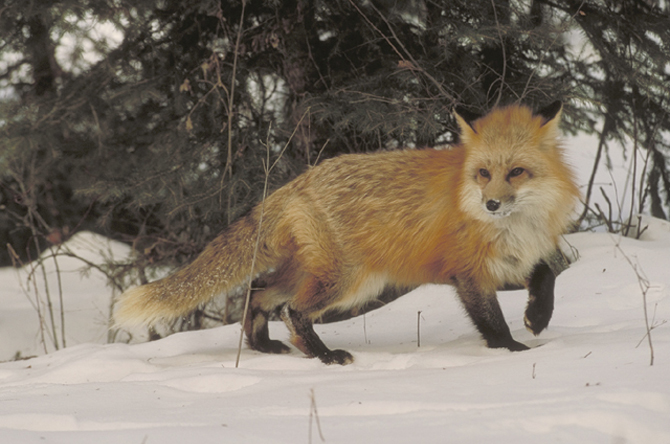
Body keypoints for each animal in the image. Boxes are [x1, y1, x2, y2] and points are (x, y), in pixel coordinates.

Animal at [115, 101, 580, 365]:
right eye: (483, 173)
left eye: (516, 172)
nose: (491, 205)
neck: (514, 226)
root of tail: (298, 181)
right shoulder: (468, 273)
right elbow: (492, 322)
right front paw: (514, 353)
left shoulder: (525, 255)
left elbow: (550, 275)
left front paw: (538, 317)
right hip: (349, 281)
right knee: (293, 311)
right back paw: (324, 356)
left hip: (321, 275)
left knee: (258, 292)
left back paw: (264, 348)